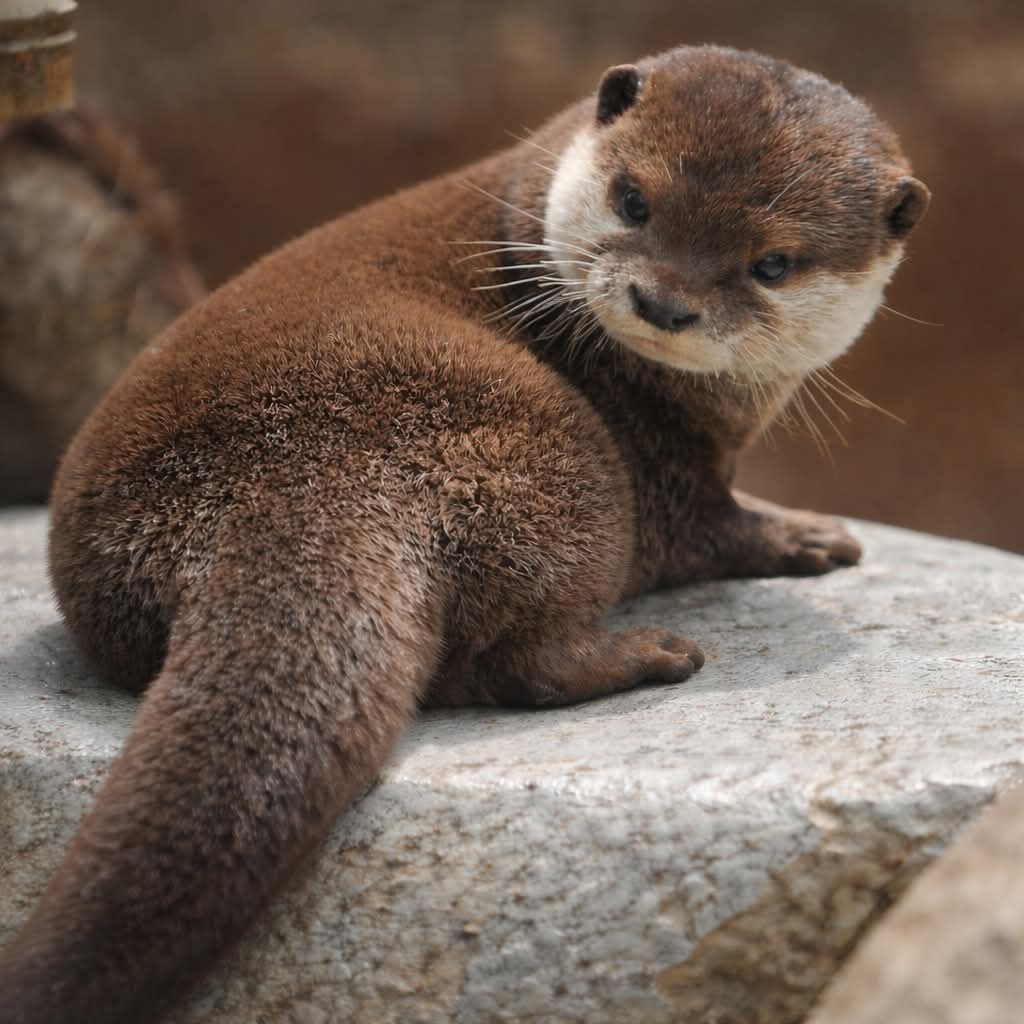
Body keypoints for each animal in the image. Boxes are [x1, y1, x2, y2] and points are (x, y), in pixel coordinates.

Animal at [0, 45, 928, 1023]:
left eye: (772, 263)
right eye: (635, 200)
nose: (663, 302)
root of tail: (276, 478)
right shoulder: (668, 469)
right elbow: (715, 532)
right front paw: (810, 537)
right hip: (561, 449)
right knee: (519, 659)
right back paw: (652, 652)